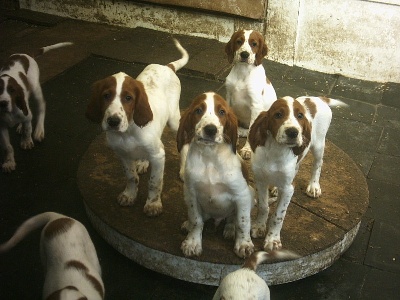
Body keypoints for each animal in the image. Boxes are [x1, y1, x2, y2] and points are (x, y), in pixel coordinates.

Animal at [0, 42, 73, 173]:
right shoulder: (1, 126)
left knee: (41, 107)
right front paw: (9, 162)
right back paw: (20, 126)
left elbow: (28, 129)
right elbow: (7, 147)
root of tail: (26, 54)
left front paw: (26, 141)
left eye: (12, 91)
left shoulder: (26, 115)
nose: (3, 103)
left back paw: (39, 130)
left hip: (35, 88)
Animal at [86, 38, 189, 217]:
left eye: (128, 98)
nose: (113, 121)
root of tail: (167, 66)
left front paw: (153, 204)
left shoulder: (159, 155)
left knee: (183, 144)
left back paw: (183, 169)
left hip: (174, 121)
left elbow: (155, 182)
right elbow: (131, 177)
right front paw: (129, 195)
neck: (127, 132)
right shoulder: (123, 154)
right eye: (106, 96)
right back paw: (142, 162)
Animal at [177, 91, 255, 258]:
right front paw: (192, 242)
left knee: (232, 218)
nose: (210, 130)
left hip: (250, 193)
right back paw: (188, 224)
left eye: (222, 112)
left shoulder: (242, 195)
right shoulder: (191, 193)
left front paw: (244, 244)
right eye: (198, 110)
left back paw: (230, 229)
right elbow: (196, 220)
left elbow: (243, 221)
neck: (210, 156)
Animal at [225, 30, 278, 161]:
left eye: (254, 44)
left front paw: (247, 150)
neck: (242, 72)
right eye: (239, 41)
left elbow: (251, 132)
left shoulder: (256, 107)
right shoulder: (228, 98)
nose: (244, 54)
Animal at [248, 96, 348, 251]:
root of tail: (319, 98)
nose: (293, 132)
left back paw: (314, 186)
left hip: (319, 145)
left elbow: (278, 215)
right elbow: (263, 207)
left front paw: (273, 239)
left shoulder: (289, 188)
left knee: (318, 164)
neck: (276, 151)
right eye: (278, 115)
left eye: (300, 116)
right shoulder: (260, 181)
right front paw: (259, 227)